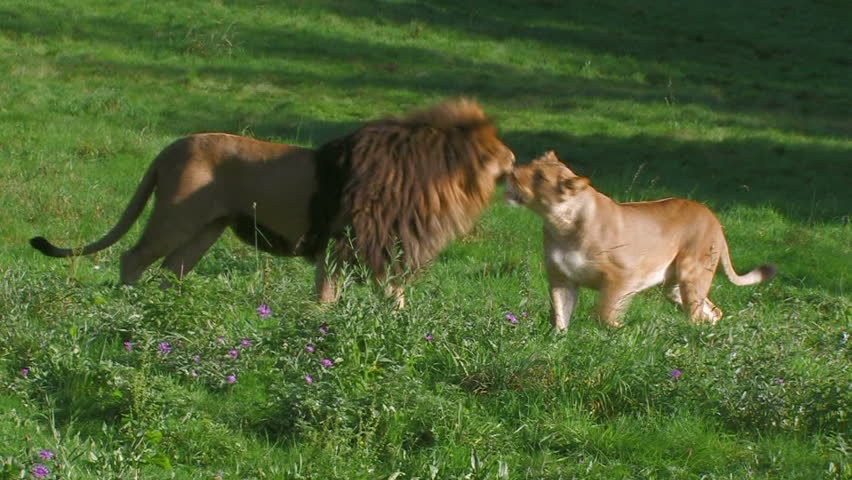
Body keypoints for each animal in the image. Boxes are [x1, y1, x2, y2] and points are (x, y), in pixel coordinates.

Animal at [31, 98, 512, 308]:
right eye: (496, 148)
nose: (514, 158)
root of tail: (169, 148)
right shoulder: (340, 244)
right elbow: (327, 297)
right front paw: (321, 327)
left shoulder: (381, 252)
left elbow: (394, 300)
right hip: (174, 218)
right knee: (132, 258)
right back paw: (129, 307)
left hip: (207, 229)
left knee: (173, 269)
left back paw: (171, 309)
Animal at [506, 151, 780, 330]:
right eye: (532, 165)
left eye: (540, 177)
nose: (511, 172)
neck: (560, 224)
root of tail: (712, 217)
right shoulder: (562, 278)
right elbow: (560, 314)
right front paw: (558, 341)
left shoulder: (624, 275)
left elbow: (603, 311)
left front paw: (619, 329)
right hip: (674, 286)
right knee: (712, 310)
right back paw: (709, 331)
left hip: (692, 272)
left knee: (695, 312)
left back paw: (693, 334)